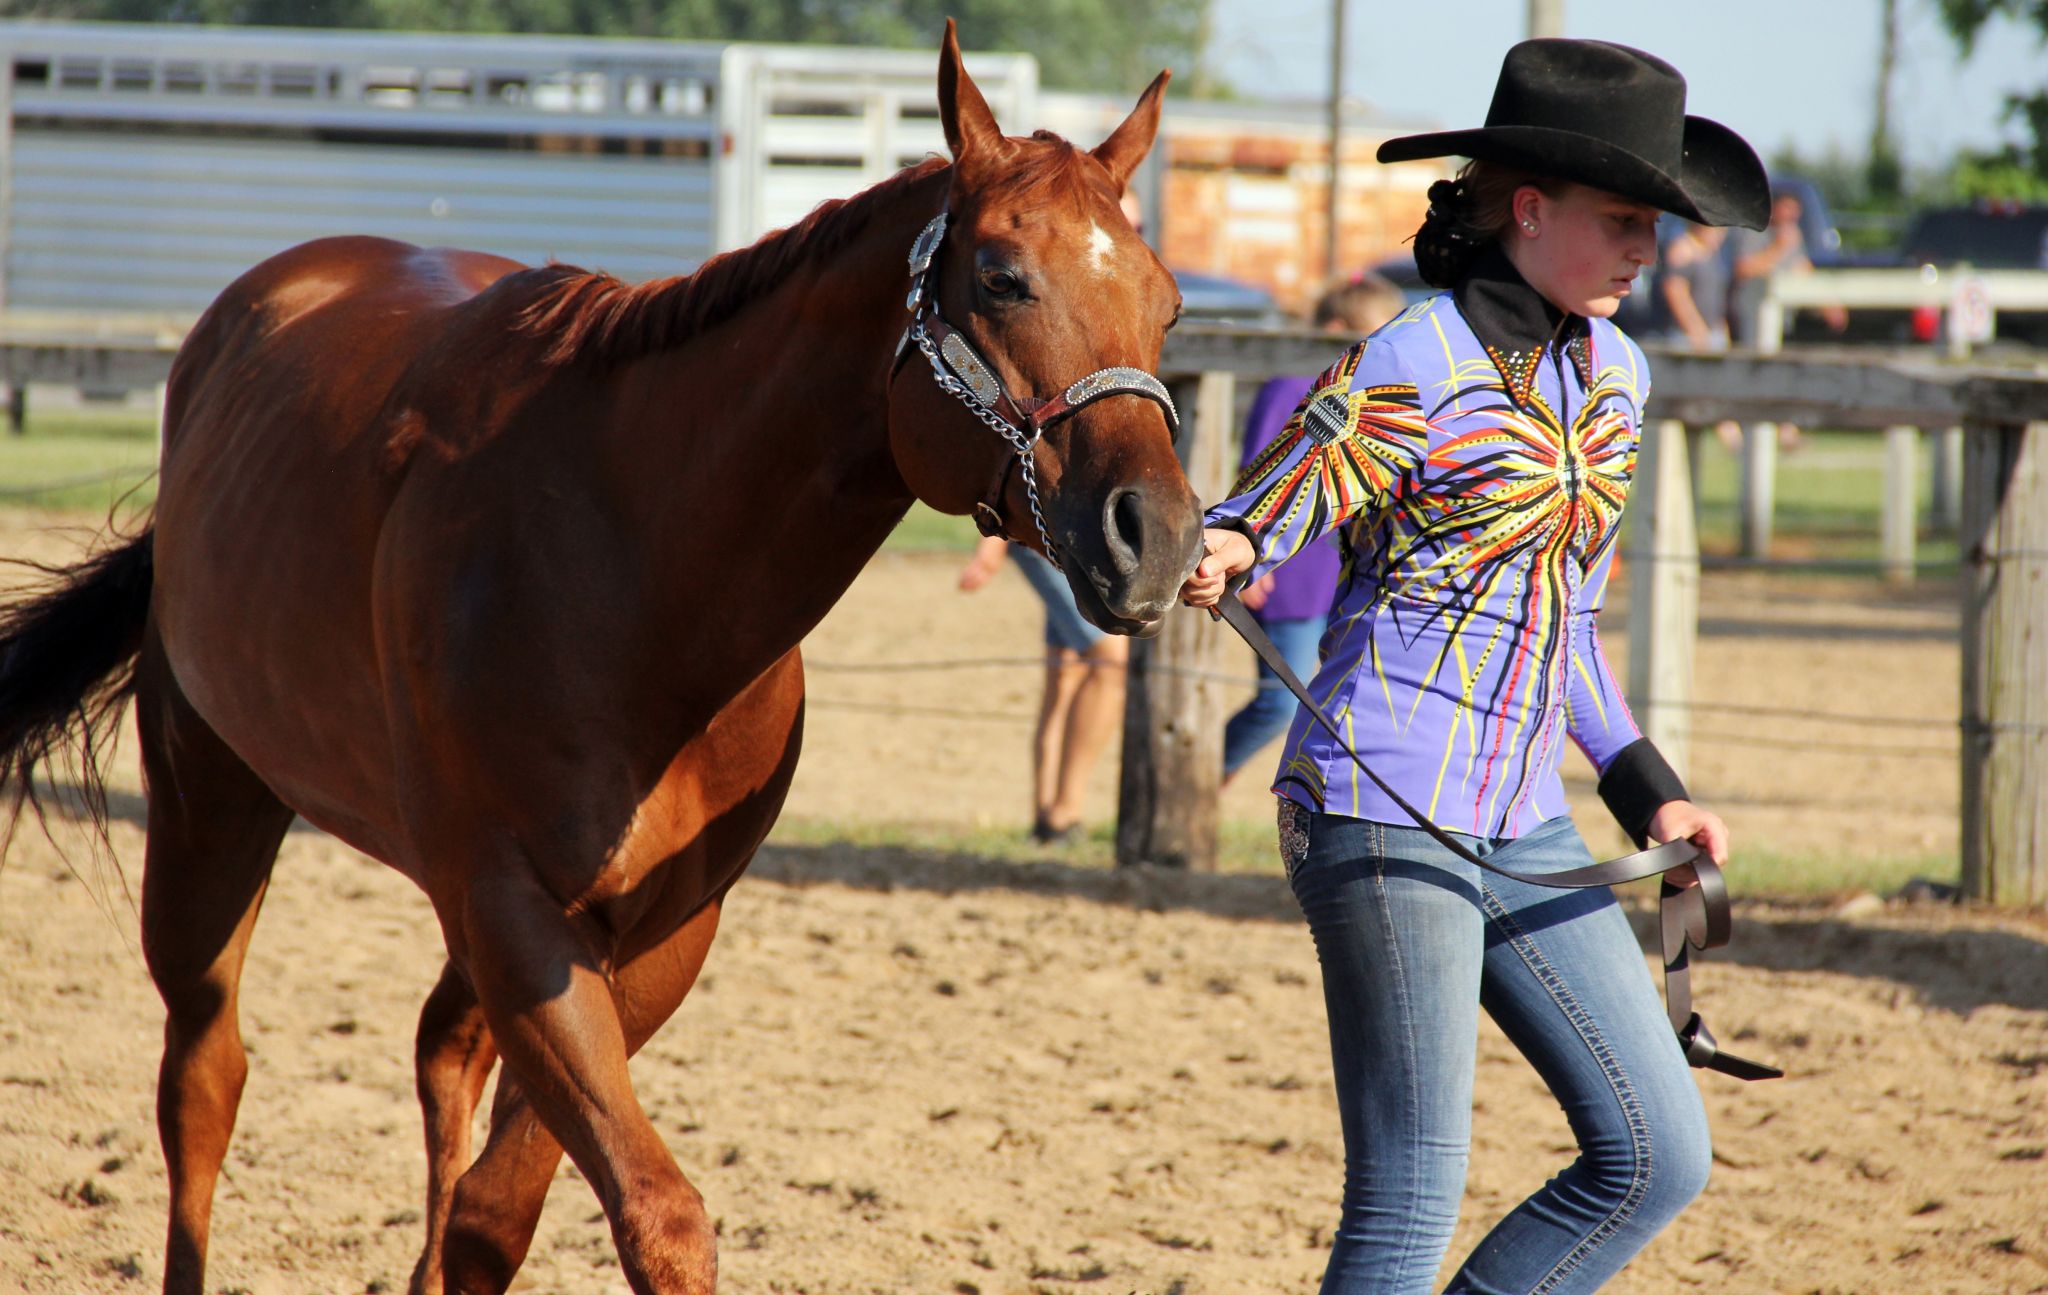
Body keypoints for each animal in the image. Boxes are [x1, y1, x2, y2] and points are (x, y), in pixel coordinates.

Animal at [0, 22, 1196, 1295]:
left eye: (1168, 304)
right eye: (1002, 277)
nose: (1157, 533)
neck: (633, 574)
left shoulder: (659, 929)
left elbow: (496, 1207)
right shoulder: (512, 907)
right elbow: (654, 1213)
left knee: (437, 1054)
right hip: (209, 803)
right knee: (204, 1074)